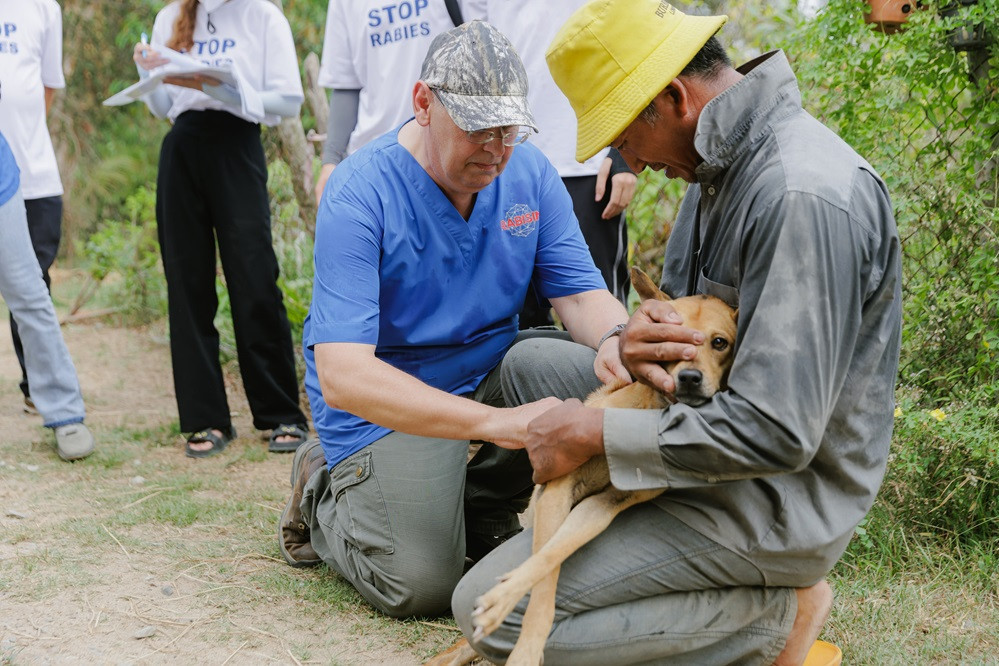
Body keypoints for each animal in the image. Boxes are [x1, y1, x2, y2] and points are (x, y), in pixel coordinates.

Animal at [426, 268, 740, 664]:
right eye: (666, 340)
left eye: (720, 342)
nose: (689, 379)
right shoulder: (558, 490)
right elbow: (545, 574)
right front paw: (524, 645)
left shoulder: (603, 506)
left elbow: (551, 557)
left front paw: (509, 612)